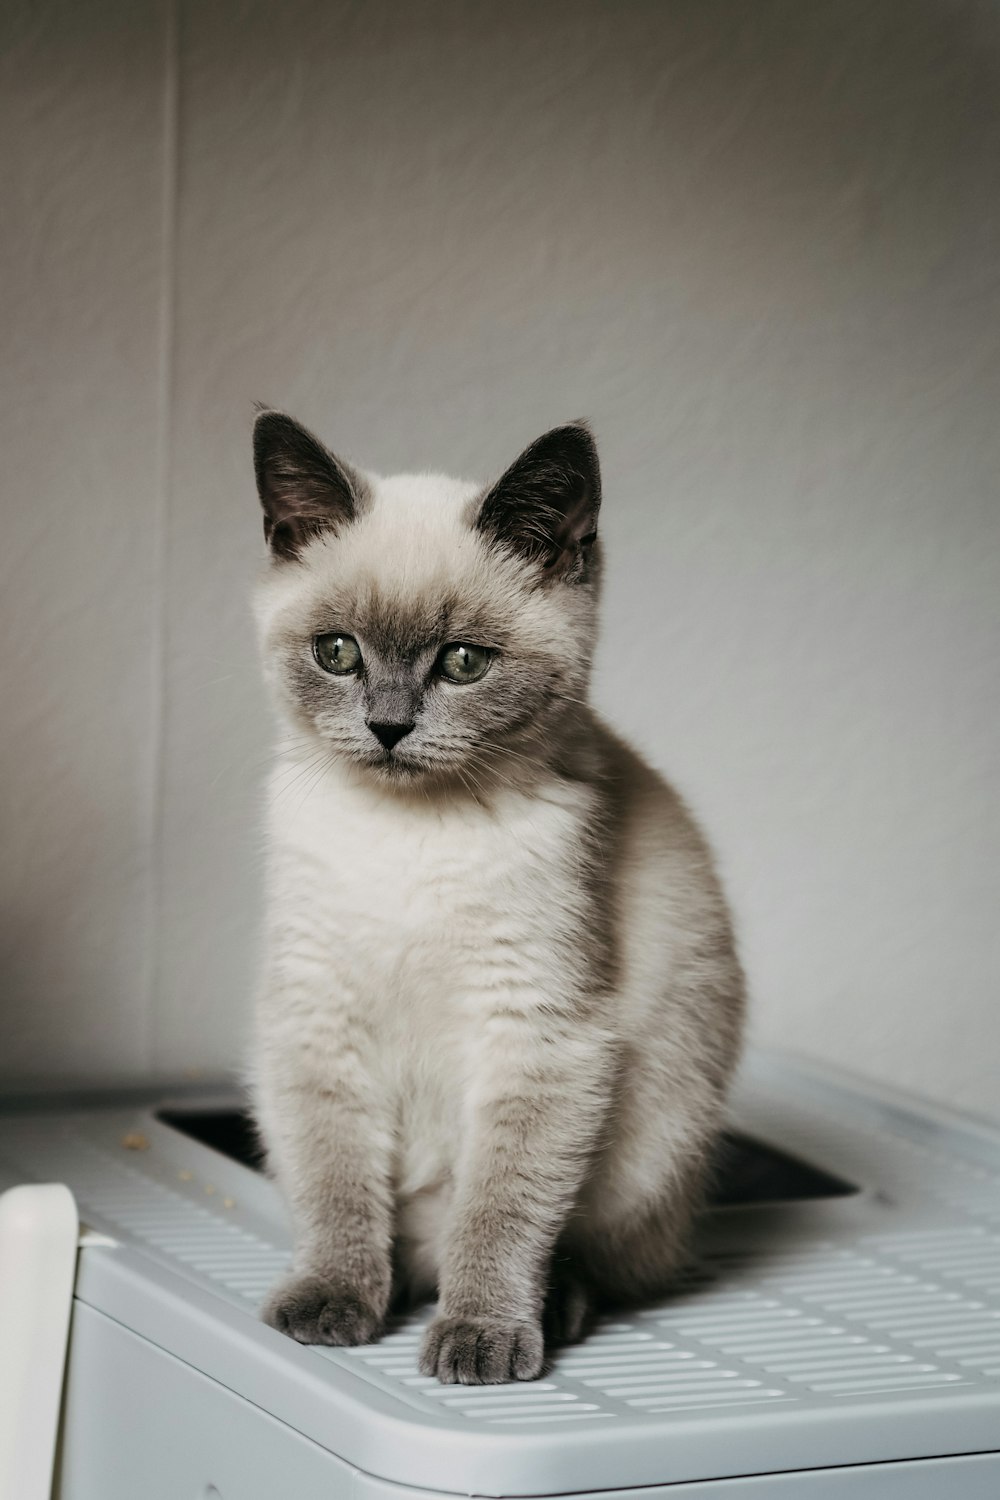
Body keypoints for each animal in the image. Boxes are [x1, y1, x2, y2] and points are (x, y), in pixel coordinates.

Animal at [247, 408, 746, 1380]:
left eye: (464, 664)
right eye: (337, 654)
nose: (388, 728)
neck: (407, 834)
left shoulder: (538, 1032)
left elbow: (501, 1210)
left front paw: (479, 1336)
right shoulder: (318, 1020)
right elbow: (336, 1187)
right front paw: (331, 1303)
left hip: (653, 1139)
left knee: (573, 1250)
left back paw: (548, 1308)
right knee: (401, 1241)